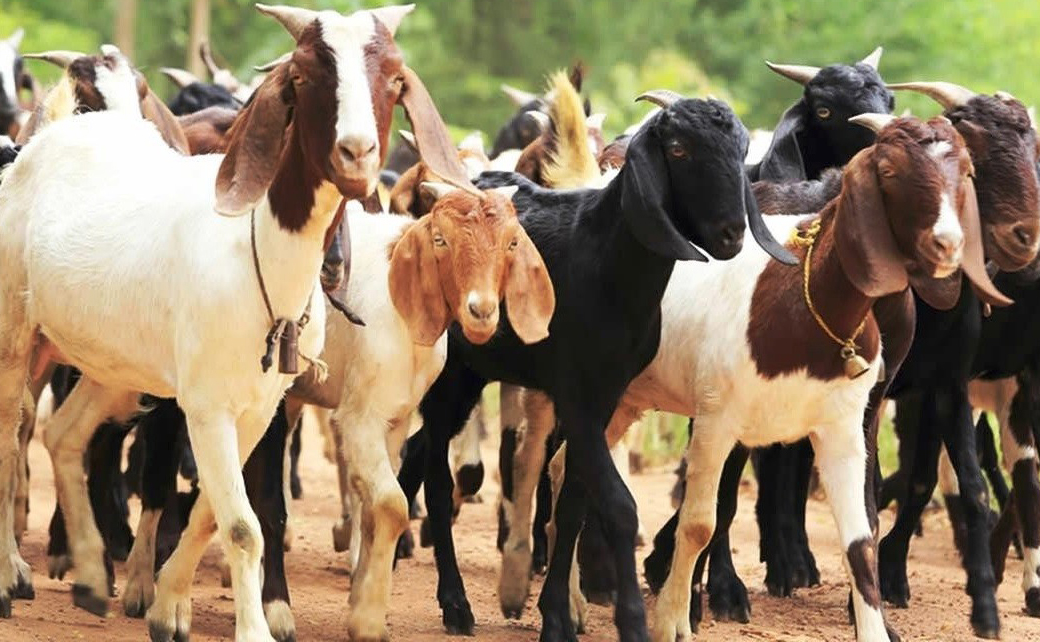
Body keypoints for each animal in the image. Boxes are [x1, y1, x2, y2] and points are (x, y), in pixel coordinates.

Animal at [393, 87, 790, 636]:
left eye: (741, 150)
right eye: (678, 149)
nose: (731, 233)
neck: (606, 262)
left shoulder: (606, 395)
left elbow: (576, 501)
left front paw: (557, 614)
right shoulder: (576, 393)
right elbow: (618, 506)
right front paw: (631, 620)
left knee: (420, 453)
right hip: (450, 374)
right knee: (435, 473)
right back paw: (454, 604)